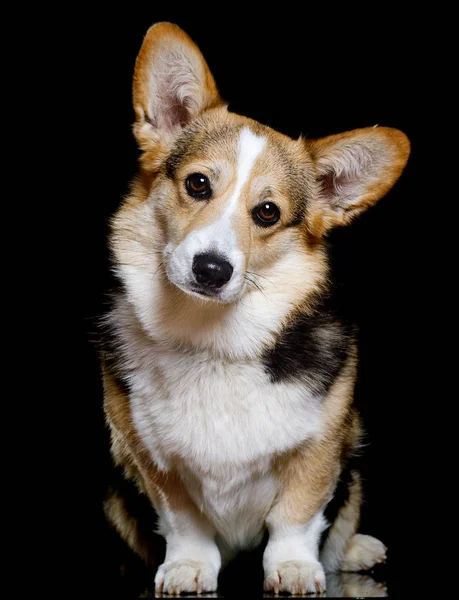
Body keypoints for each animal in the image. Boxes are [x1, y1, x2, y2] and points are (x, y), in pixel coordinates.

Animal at [102, 21, 412, 592]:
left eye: (267, 212)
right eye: (197, 183)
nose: (211, 268)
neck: (211, 341)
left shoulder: (323, 444)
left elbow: (298, 514)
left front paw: (293, 567)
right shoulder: (146, 454)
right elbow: (183, 520)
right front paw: (188, 566)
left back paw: (355, 548)